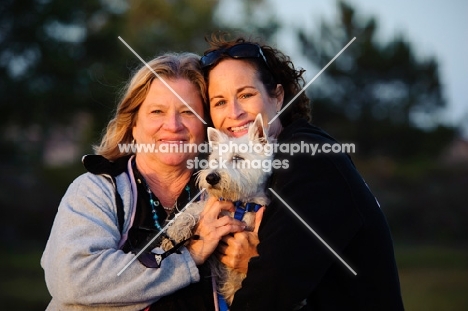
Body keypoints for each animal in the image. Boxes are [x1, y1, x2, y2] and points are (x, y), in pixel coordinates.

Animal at [161, 113, 274, 306]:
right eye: (215, 160)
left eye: (238, 158)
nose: (211, 177)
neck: (239, 204)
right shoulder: (215, 207)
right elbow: (195, 209)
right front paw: (176, 232)